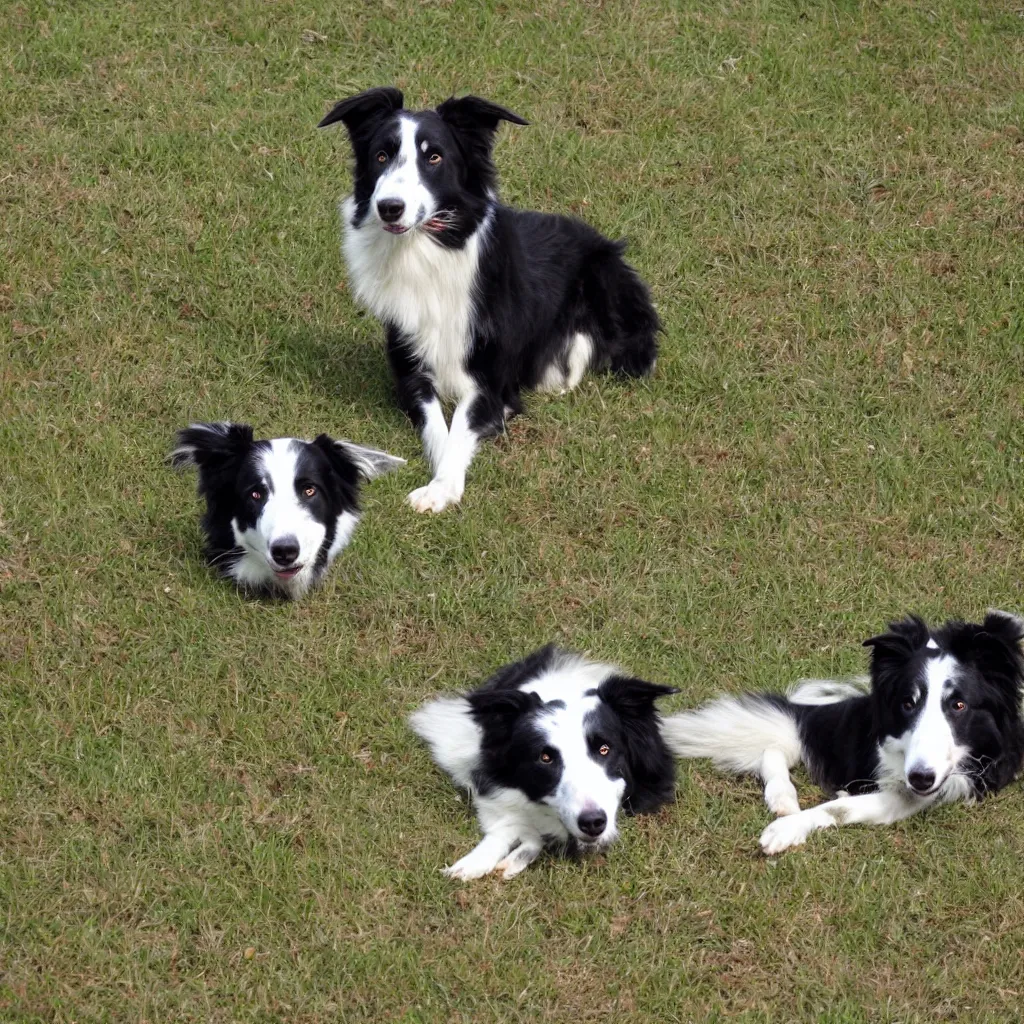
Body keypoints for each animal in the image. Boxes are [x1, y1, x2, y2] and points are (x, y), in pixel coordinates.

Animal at [315, 89, 659, 516]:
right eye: (381, 155)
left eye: (434, 157)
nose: (389, 207)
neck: (429, 251)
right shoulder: (412, 374)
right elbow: (439, 430)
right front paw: (440, 479)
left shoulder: (490, 380)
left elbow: (463, 427)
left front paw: (440, 488)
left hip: (606, 285)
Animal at [663, 606, 1024, 856]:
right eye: (908, 703)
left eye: (959, 705)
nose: (920, 778)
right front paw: (788, 810)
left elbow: (841, 806)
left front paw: (787, 828)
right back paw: (783, 796)